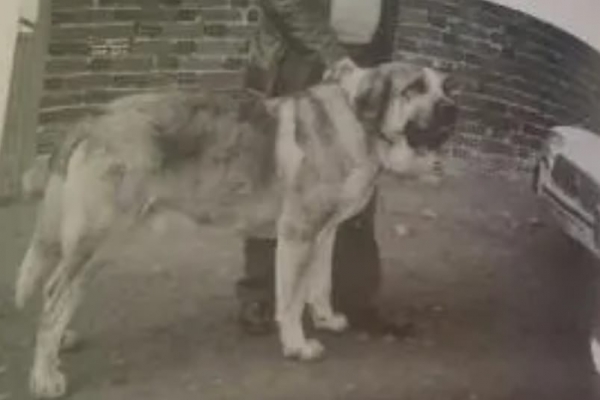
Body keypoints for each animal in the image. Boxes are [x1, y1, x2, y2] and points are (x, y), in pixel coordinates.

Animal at [15, 62, 454, 396]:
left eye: (445, 86)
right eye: (415, 88)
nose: (454, 108)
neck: (357, 122)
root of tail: (93, 118)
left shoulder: (324, 234)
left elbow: (320, 285)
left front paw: (327, 319)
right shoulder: (297, 235)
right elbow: (291, 300)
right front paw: (297, 346)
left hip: (87, 246)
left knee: (60, 292)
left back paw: (60, 343)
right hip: (99, 239)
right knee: (55, 293)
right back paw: (45, 376)